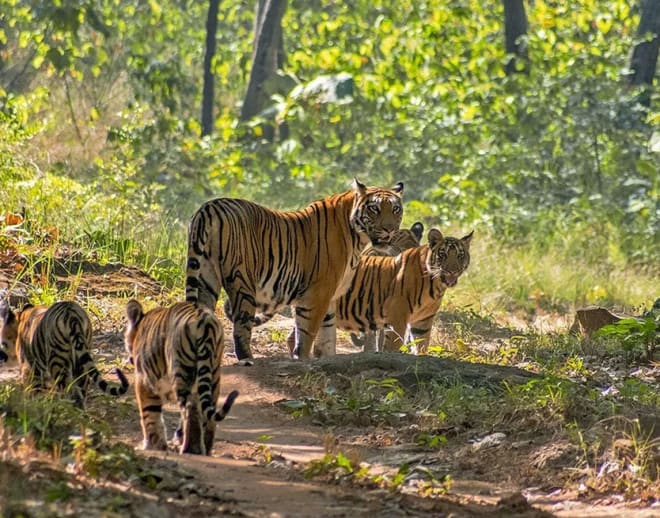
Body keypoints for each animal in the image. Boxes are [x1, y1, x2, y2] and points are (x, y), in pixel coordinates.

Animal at [0, 302, 128, 408]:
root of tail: (72, 314)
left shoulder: (29, 368)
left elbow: (32, 390)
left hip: (58, 362)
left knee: (70, 391)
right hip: (81, 361)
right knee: (81, 390)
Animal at [125, 298, 238, 458]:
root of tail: (205, 321)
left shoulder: (145, 380)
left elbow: (149, 413)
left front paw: (152, 446)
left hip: (181, 372)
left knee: (189, 409)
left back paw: (189, 449)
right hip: (214, 374)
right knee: (207, 412)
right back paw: (205, 449)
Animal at [183, 179, 404, 362]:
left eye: (395, 209)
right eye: (374, 208)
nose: (389, 229)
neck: (358, 238)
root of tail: (209, 207)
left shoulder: (331, 296)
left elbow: (327, 336)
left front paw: (327, 359)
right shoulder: (317, 294)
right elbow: (306, 333)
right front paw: (303, 359)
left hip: (205, 277)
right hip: (242, 281)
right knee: (241, 326)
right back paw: (247, 359)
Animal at [336, 230, 474, 356]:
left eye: (460, 255)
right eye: (443, 254)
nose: (452, 271)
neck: (436, 285)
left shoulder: (423, 322)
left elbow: (421, 346)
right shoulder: (397, 317)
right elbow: (393, 346)